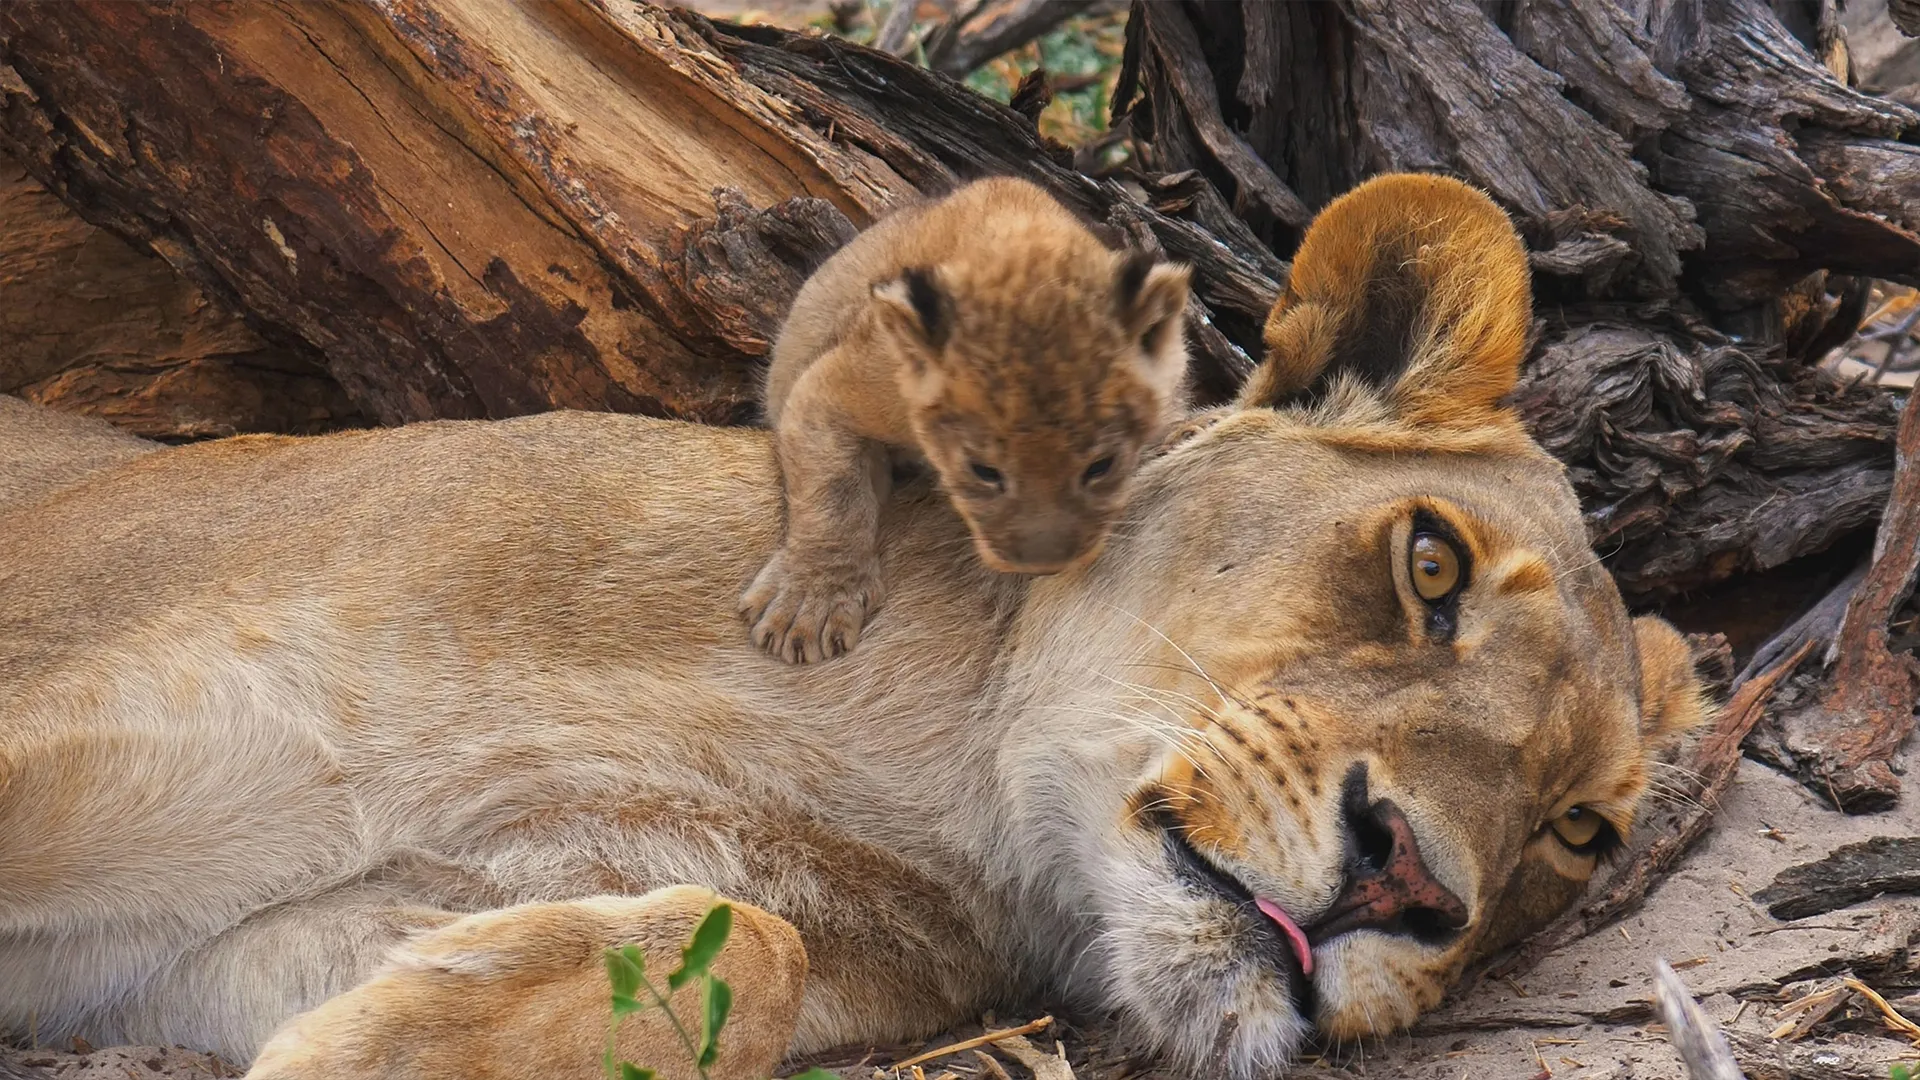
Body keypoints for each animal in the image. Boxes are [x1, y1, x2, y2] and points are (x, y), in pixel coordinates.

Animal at [0, 174, 1706, 1080]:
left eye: (1578, 836)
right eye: (1429, 566)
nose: (1412, 886)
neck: (908, 758)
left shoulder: (192, 956)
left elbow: (740, 942)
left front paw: (402, 1044)